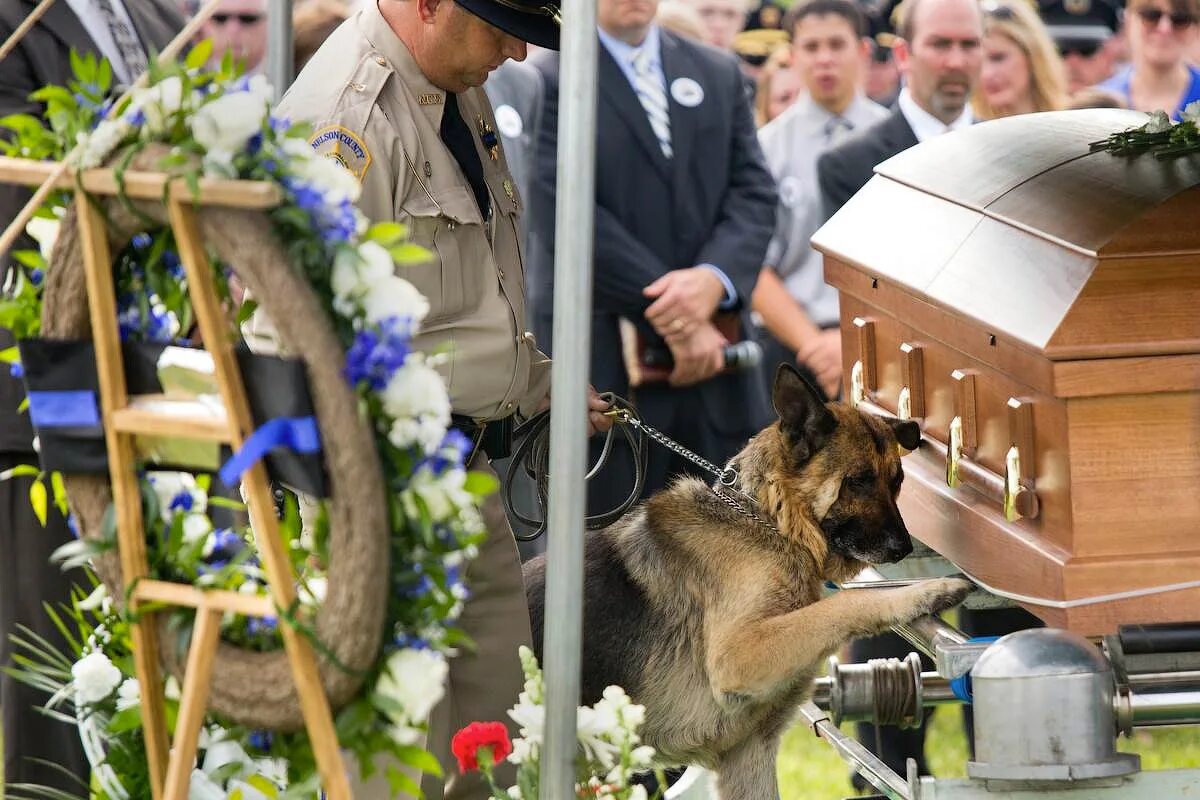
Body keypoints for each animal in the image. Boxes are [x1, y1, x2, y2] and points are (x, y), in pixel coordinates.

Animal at [525, 367, 974, 796]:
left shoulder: (748, 753)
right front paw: (927, 591)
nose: (903, 547)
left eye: (897, 481)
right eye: (859, 480)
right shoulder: (740, 655)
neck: (767, 521)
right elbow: (842, 604)